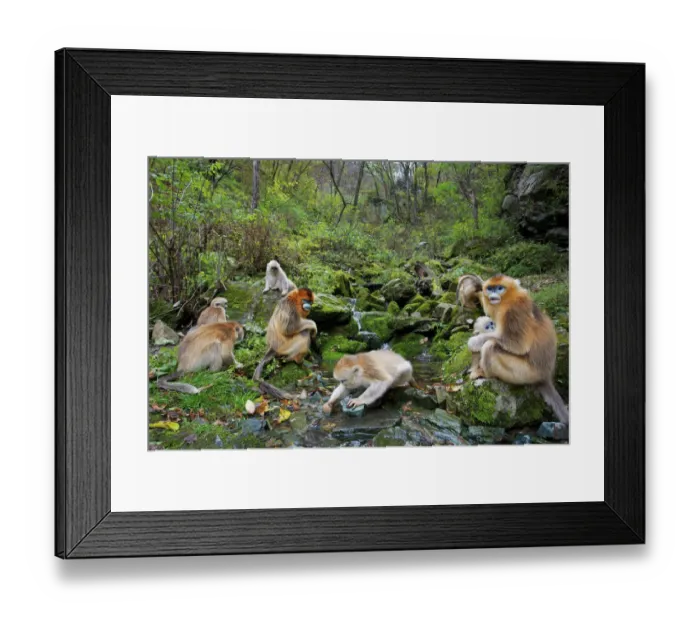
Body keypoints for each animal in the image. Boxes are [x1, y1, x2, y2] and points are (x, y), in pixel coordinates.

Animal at [467, 274, 569, 424]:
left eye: (499, 288)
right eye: (490, 288)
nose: (493, 294)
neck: (508, 299)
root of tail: (546, 377)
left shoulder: (514, 310)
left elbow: (518, 344)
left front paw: (474, 341)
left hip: (526, 373)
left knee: (490, 347)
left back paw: (484, 373)